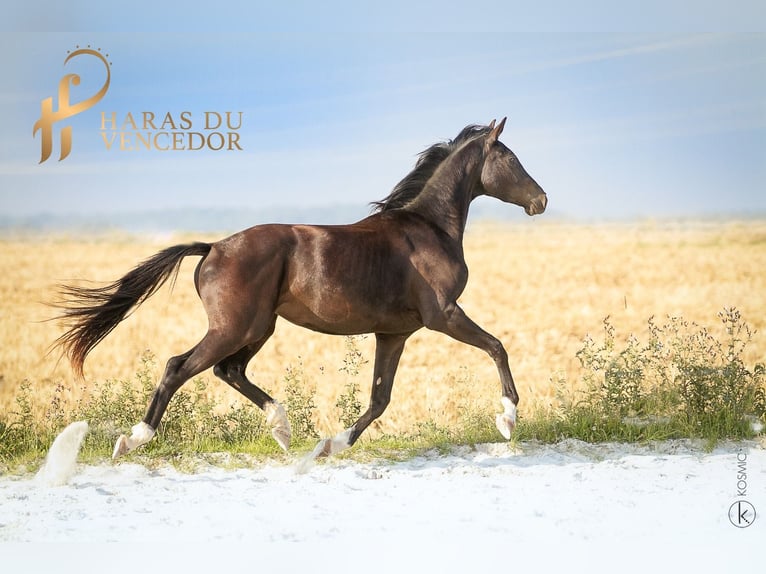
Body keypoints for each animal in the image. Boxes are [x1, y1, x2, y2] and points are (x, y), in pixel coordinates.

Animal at [52, 119, 544, 462]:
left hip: (258, 327)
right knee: (180, 367)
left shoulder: (394, 333)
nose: (541, 200)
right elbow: (497, 347)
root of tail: (212, 247)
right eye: (510, 158)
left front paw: (331, 445)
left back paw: (282, 428)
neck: (428, 229)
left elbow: (379, 398)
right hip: (234, 328)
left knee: (229, 370)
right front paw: (507, 418)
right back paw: (133, 440)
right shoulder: (443, 314)